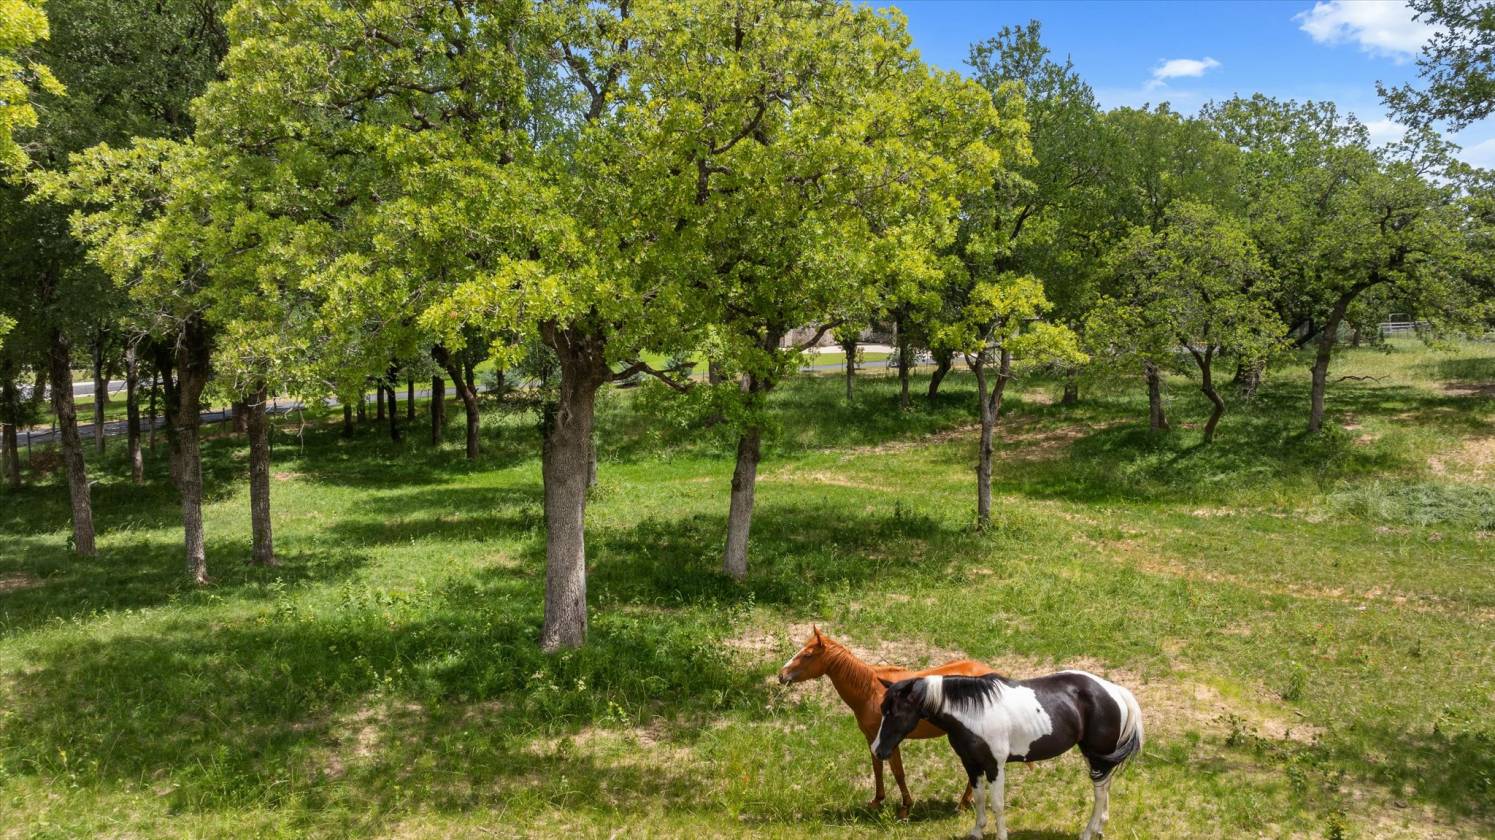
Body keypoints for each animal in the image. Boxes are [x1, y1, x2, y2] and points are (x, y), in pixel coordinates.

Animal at [776, 626, 995, 818]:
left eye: (807, 655)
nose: (781, 675)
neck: (870, 691)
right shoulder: (872, 738)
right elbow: (877, 768)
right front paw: (877, 801)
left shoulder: (890, 740)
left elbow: (898, 772)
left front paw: (905, 808)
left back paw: (963, 804)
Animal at [872, 671, 1143, 840]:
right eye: (883, 710)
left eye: (894, 712)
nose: (877, 750)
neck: (973, 713)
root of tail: (1115, 691)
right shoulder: (971, 765)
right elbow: (979, 799)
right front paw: (977, 832)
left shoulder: (995, 766)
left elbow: (997, 804)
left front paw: (1001, 835)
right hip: (1095, 756)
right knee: (1105, 787)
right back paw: (1099, 829)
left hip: (1097, 755)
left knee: (1099, 793)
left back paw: (1087, 833)